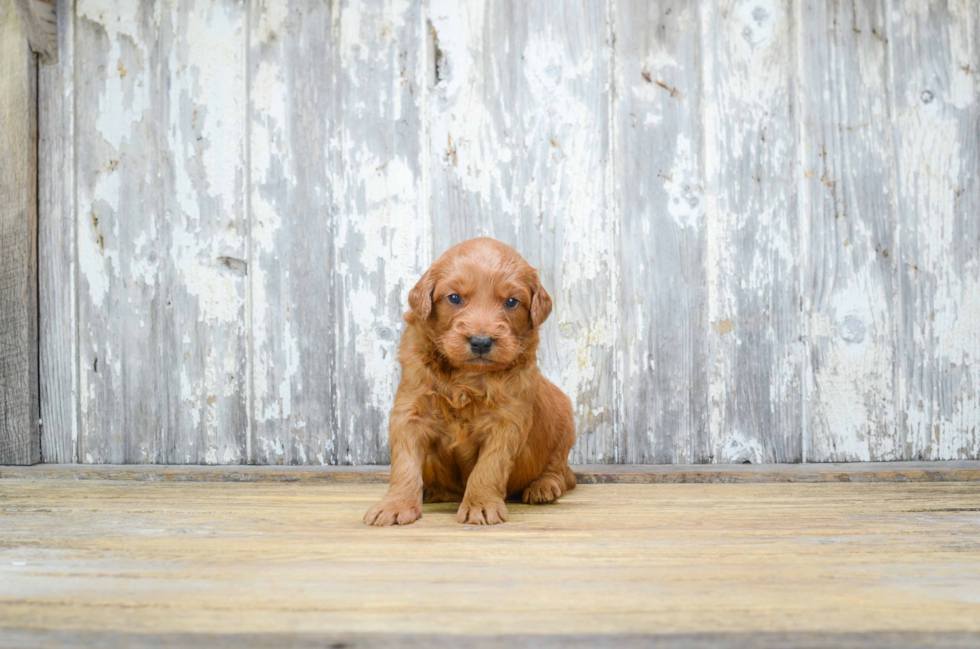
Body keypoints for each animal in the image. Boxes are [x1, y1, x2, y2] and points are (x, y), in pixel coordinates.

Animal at [364, 235, 580, 524]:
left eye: (511, 302)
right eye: (454, 298)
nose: (481, 341)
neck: (467, 376)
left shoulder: (507, 420)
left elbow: (488, 467)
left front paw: (481, 504)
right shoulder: (410, 410)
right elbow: (405, 464)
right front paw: (395, 505)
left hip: (563, 421)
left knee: (562, 472)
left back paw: (543, 487)